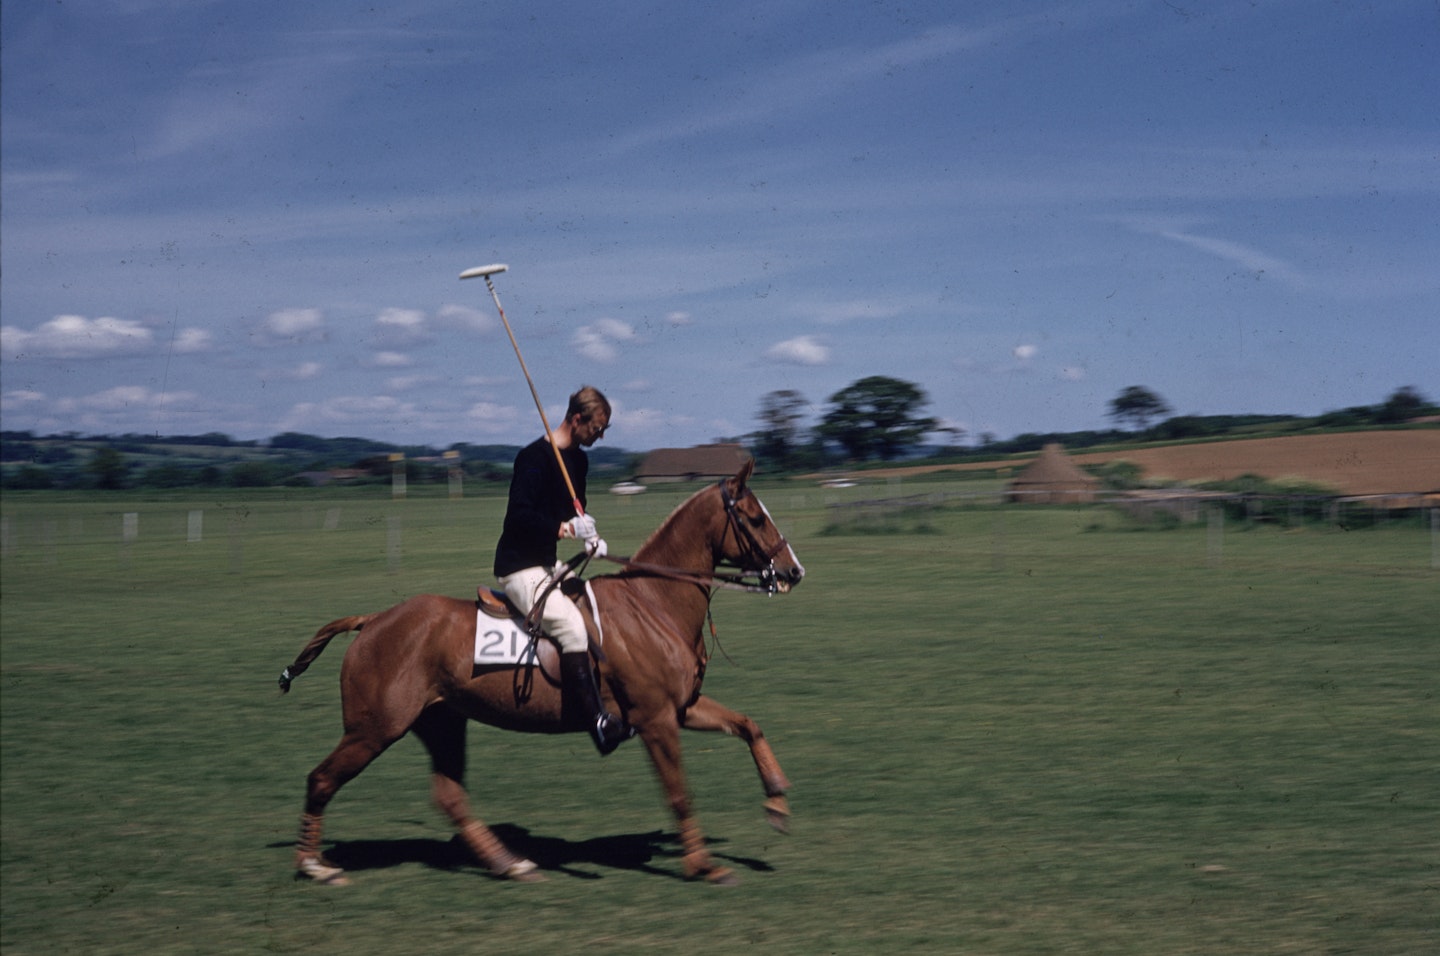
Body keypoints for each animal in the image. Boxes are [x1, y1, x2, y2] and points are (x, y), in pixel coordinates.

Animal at [275, 460, 806, 886]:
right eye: (754, 517)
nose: (793, 572)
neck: (654, 602)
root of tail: (371, 621)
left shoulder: (681, 708)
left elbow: (748, 725)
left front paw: (777, 801)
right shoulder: (655, 718)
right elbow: (679, 793)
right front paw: (704, 866)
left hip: (441, 720)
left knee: (449, 794)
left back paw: (510, 863)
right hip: (375, 728)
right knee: (321, 779)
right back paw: (315, 866)